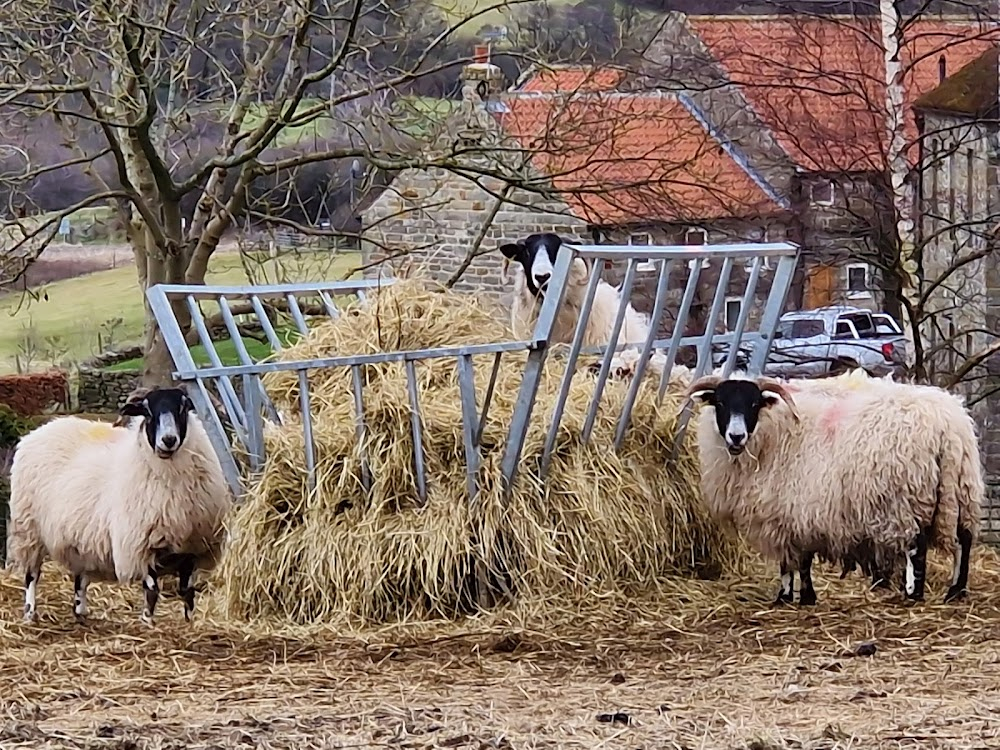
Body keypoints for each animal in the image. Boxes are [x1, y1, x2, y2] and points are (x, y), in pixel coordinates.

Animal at [8, 388, 231, 624]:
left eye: (184, 406)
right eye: (147, 411)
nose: (169, 440)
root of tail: (40, 430)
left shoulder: (191, 548)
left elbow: (187, 592)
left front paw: (189, 622)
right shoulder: (140, 546)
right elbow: (152, 591)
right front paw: (147, 621)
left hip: (80, 536)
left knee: (80, 578)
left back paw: (81, 611)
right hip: (29, 529)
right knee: (32, 574)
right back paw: (30, 612)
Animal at [684, 374, 980, 608]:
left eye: (754, 404)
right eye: (720, 403)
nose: (736, 436)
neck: (772, 432)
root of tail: (948, 425)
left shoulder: (789, 509)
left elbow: (792, 561)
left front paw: (787, 597)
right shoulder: (797, 512)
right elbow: (800, 559)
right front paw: (803, 598)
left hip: (904, 496)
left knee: (915, 546)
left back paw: (913, 593)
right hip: (959, 489)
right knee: (963, 540)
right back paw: (956, 590)